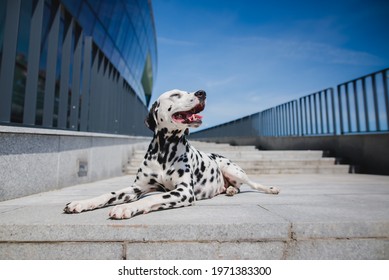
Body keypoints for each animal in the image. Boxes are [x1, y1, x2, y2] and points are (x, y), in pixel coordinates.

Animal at [65, 89, 280, 219]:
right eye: (176, 94)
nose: (202, 92)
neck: (165, 150)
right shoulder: (136, 188)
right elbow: (107, 194)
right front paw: (81, 203)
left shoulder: (184, 191)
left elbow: (151, 198)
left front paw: (125, 208)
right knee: (236, 187)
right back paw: (230, 190)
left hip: (232, 169)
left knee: (252, 183)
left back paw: (269, 189)